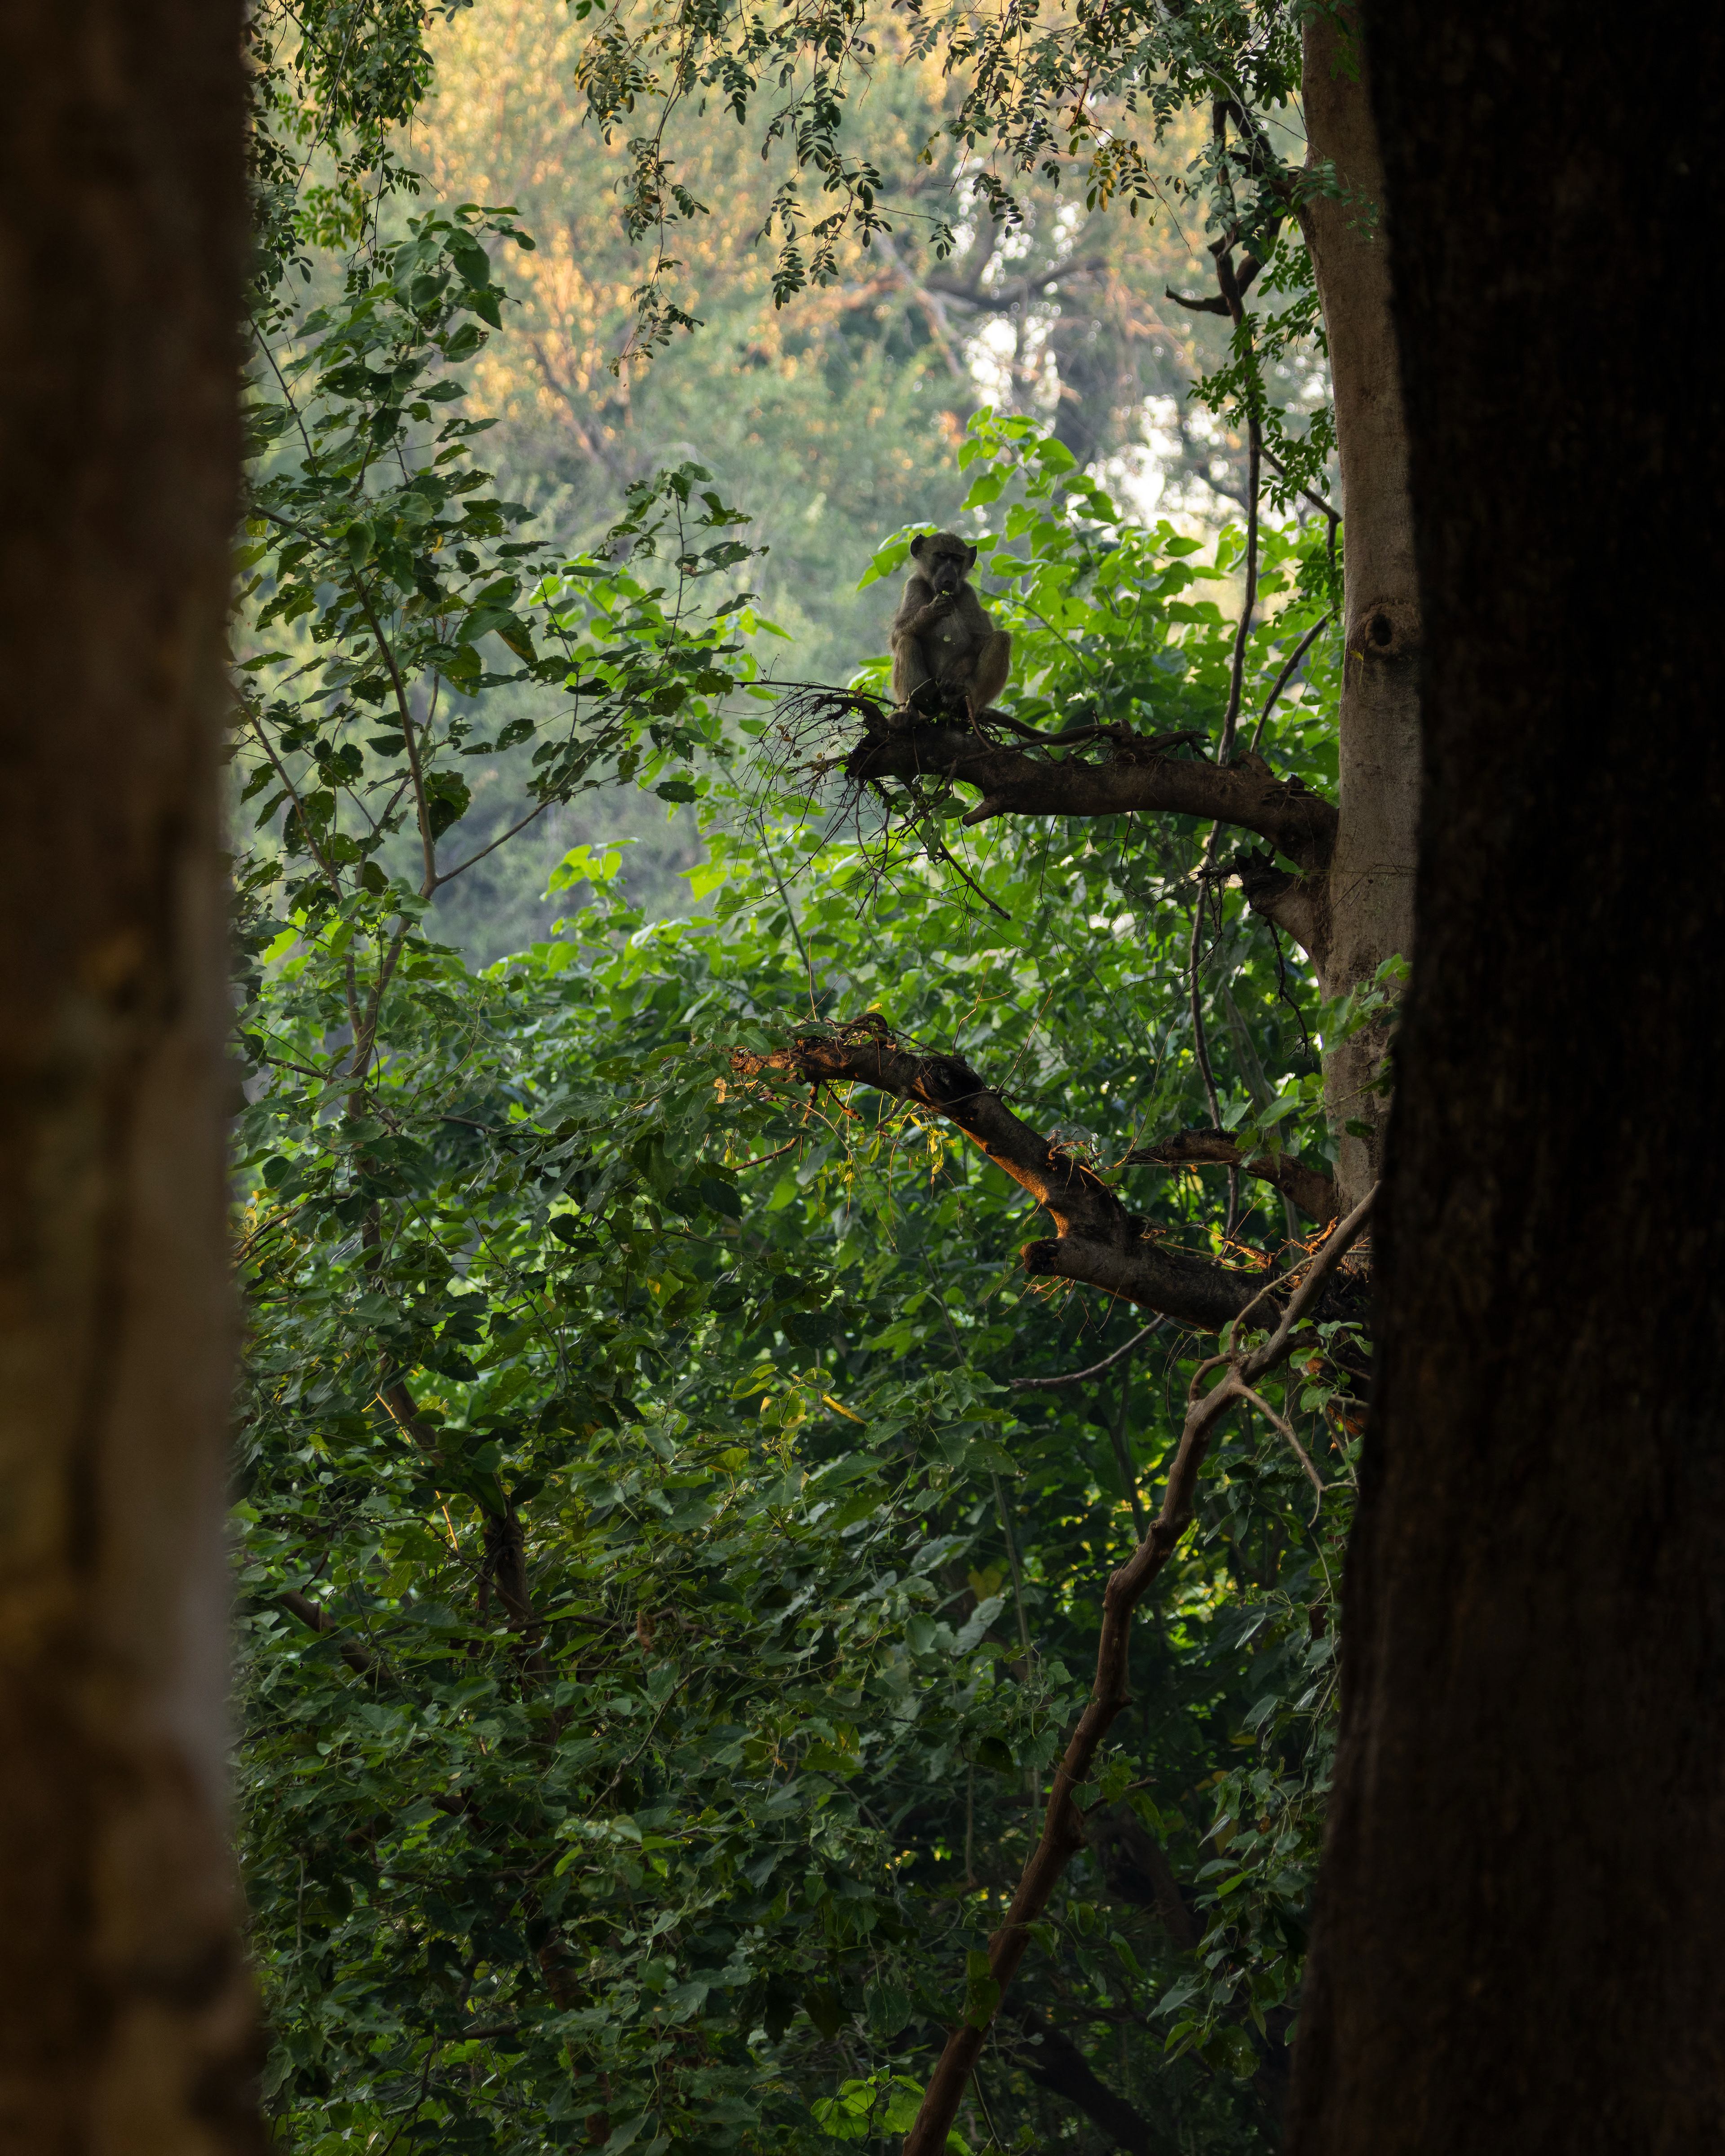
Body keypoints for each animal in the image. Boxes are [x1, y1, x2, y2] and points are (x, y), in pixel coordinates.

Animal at [889, 531, 1013, 725]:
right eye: (941, 556)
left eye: (957, 559)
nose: (948, 580)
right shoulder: (914, 585)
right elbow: (898, 635)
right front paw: (932, 611)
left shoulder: (969, 593)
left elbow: (982, 637)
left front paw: (955, 673)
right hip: (930, 691)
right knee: (907, 639)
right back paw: (911, 711)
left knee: (1001, 638)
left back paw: (966, 702)